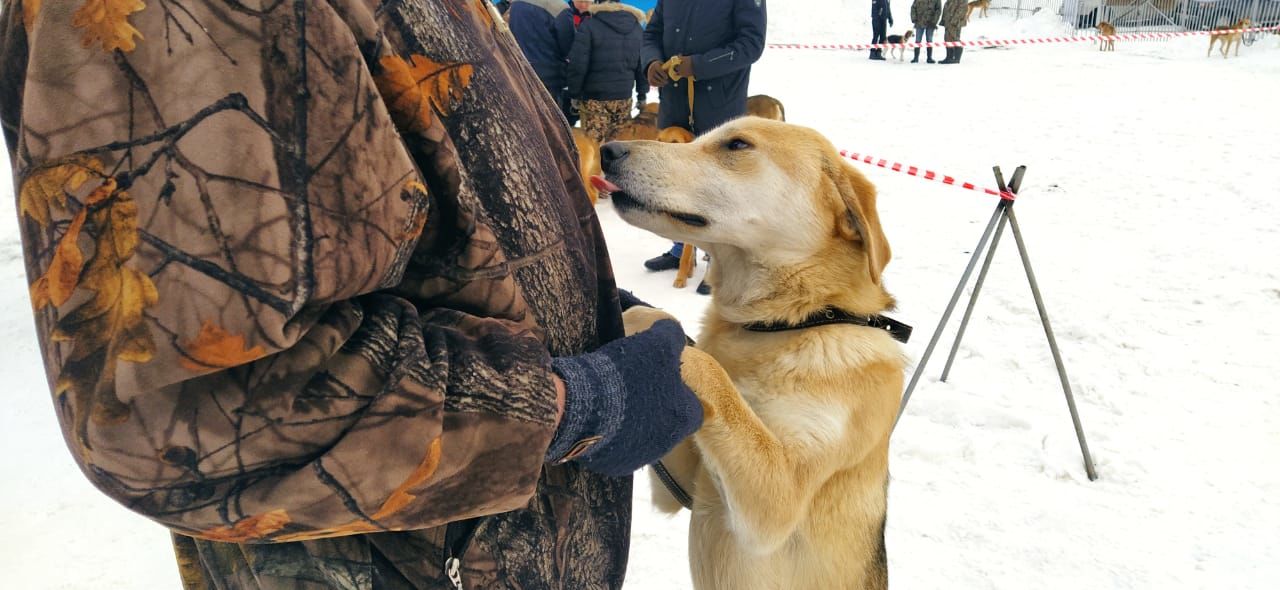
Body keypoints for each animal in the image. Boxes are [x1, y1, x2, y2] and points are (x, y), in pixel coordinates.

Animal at [593, 115, 906, 588]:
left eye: (737, 145)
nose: (608, 151)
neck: (787, 324)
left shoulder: (777, 498)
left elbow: (705, 364)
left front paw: (644, 324)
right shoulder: (681, 485)